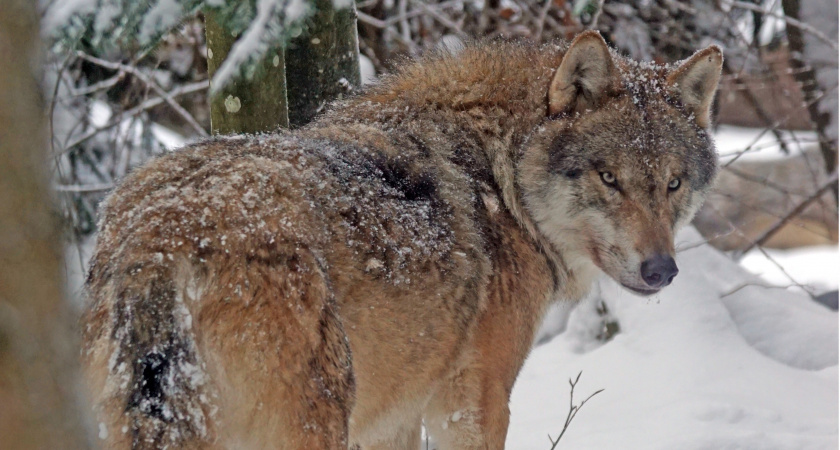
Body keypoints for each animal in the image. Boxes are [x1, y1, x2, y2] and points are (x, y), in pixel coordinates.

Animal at [80, 30, 720, 446]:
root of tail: (158, 239)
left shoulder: (397, 418)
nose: (661, 271)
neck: (504, 179)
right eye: (609, 178)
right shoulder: (473, 405)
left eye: (673, 183)